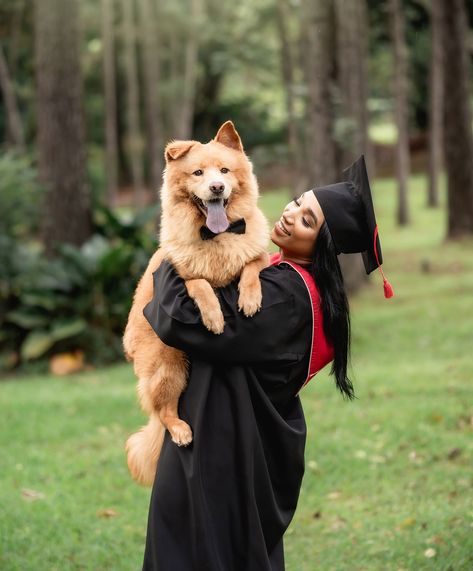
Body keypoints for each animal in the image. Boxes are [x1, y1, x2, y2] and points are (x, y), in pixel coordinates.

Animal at [122, 120, 270, 488]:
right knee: (163, 411)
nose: (216, 187)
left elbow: (251, 267)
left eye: (224, 171)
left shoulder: (260, 256)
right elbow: (200, 284)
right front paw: (215, 317)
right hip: (169, 365)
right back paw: (180, 431)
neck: (216, 235)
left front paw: (249, 299)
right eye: (198, 173)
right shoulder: (183, 273)